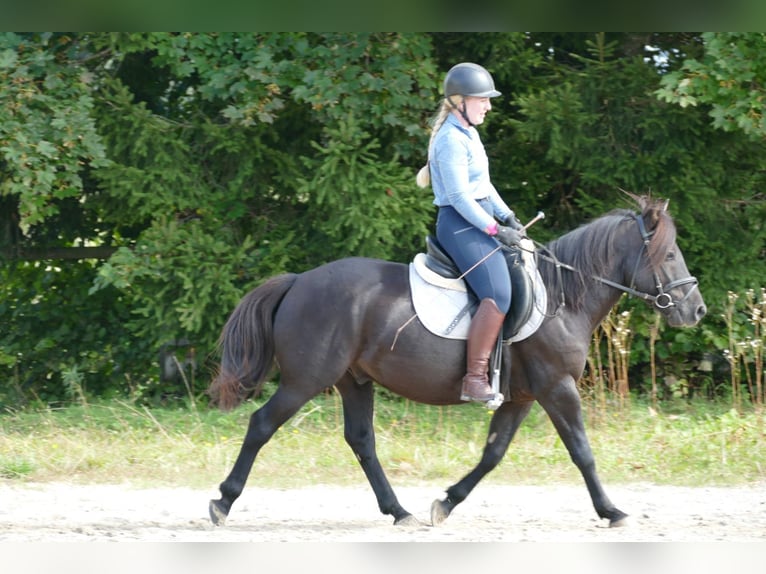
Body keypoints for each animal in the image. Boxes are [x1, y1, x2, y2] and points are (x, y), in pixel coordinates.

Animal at [208, 197, 708, 532]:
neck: (561, 297)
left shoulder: (522, 396)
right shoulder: (556, 387)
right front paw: (612, 511)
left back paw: (400, 512)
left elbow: (493, 453)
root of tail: (298, 282)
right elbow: (582, 451)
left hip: (354, 380)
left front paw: (446, 502)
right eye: (668, 254)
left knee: (361, 441)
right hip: (306, 380)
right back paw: (222, 502)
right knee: (262, 424)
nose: (697, 310)